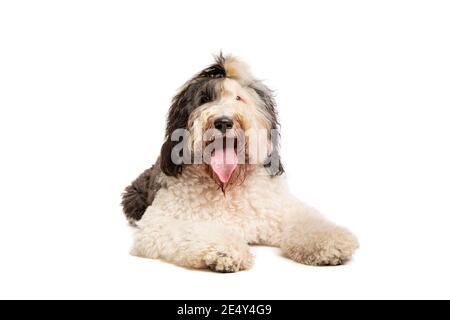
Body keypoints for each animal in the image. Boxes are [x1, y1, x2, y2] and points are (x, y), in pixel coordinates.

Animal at [122, 53, 358, 272]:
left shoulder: (281, 210)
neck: (226, 187)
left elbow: (308, 221)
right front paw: (224, 251)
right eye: (204, 99)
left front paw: (330, 242)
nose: (223, 122)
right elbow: (193, 230)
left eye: (238, 98)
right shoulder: (161, 222)